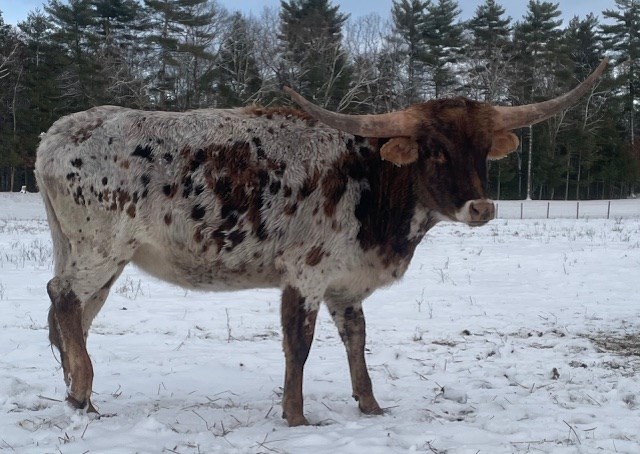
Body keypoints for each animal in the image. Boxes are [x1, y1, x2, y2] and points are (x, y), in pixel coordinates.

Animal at [34, 59, 607, 427]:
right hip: (100, 247)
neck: (374, 184)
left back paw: (74, 391)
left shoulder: (346, 285)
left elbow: (356, 338)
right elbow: (300, 343)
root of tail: (59, 131)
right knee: (64, 296)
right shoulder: (306, 274)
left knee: (73, 313)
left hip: (99, 255)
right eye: (435, 150)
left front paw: (370, 405)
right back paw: (83, 394)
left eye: (483, 149)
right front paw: (296, 414)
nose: (482, 208)